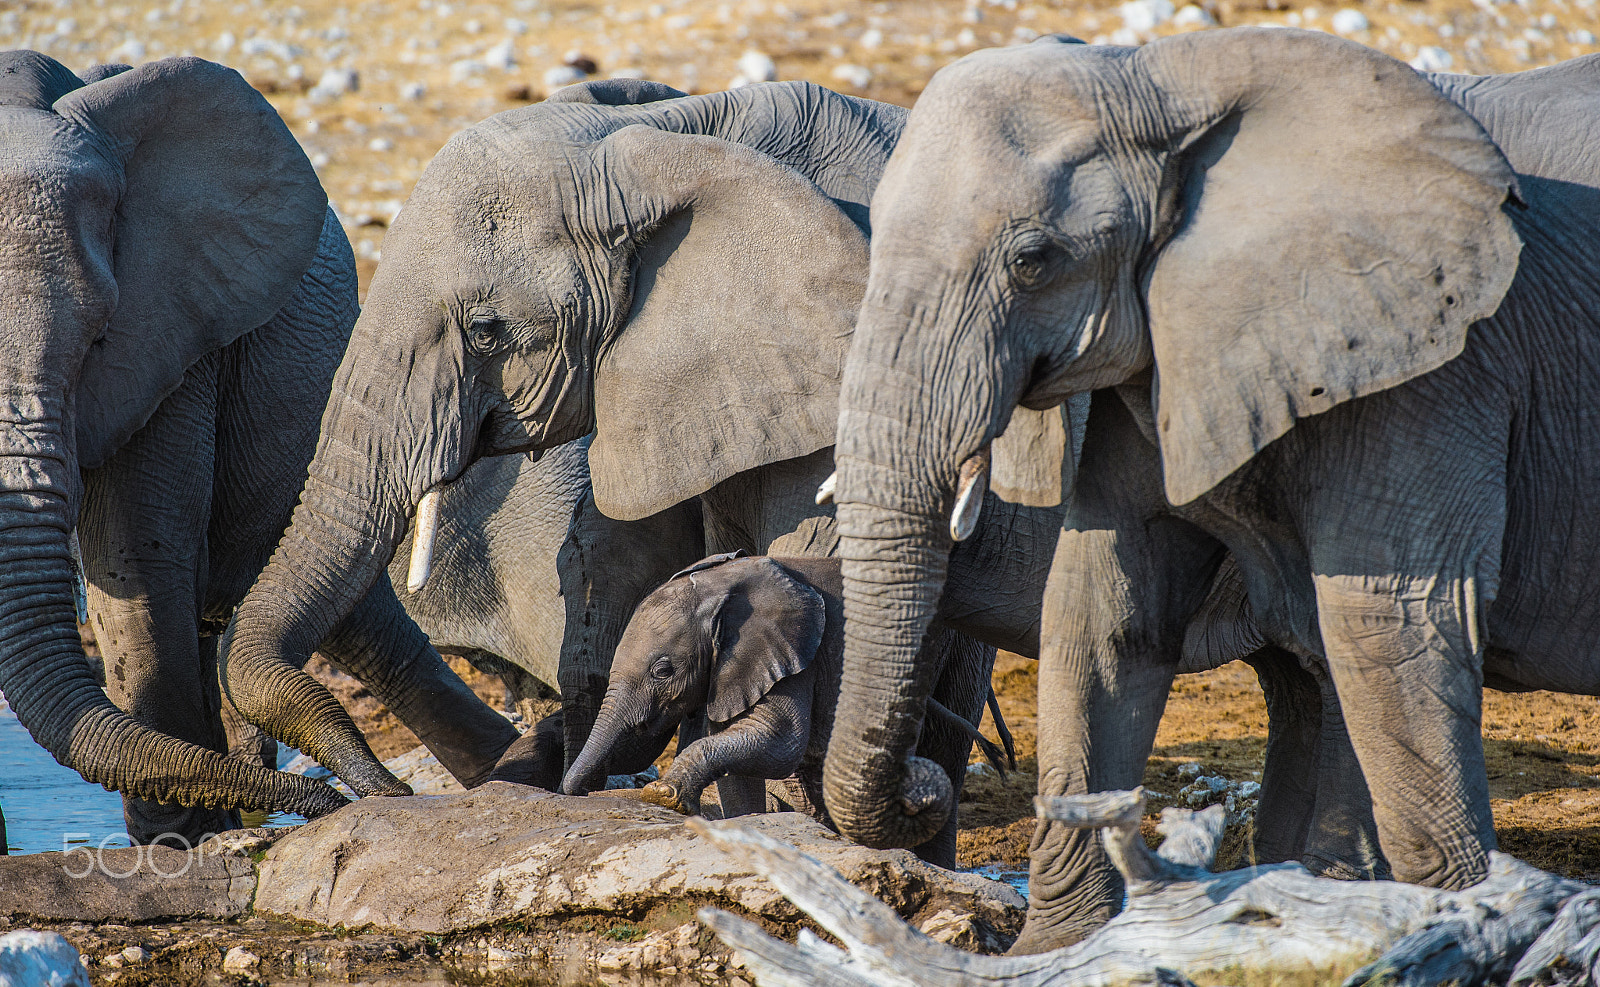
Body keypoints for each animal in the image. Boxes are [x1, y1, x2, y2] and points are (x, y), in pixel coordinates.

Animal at [0, 50, 521, 845]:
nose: (365, 797)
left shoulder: (177, 339)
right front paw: (185, 837)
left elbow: (134, 557)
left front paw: (177, 845)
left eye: (99, 339)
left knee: (354, 619)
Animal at [558, 551, 1003, 867]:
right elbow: (738, 759)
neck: (723, 585)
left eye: (663, 671)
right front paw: (748, 829)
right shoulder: (729, 672)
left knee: (944, 753)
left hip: (966, 652)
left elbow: (779, 741)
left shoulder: (798, 653)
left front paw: (663, 794)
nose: (577, 792)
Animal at [824, 27, 1600, 953]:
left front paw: (1462, 933)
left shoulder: (1436, 368)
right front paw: (1057, 950)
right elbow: (1102, 608)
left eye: (1032, 261)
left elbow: (1392, 618)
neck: (1159, 78)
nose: (921, 782)